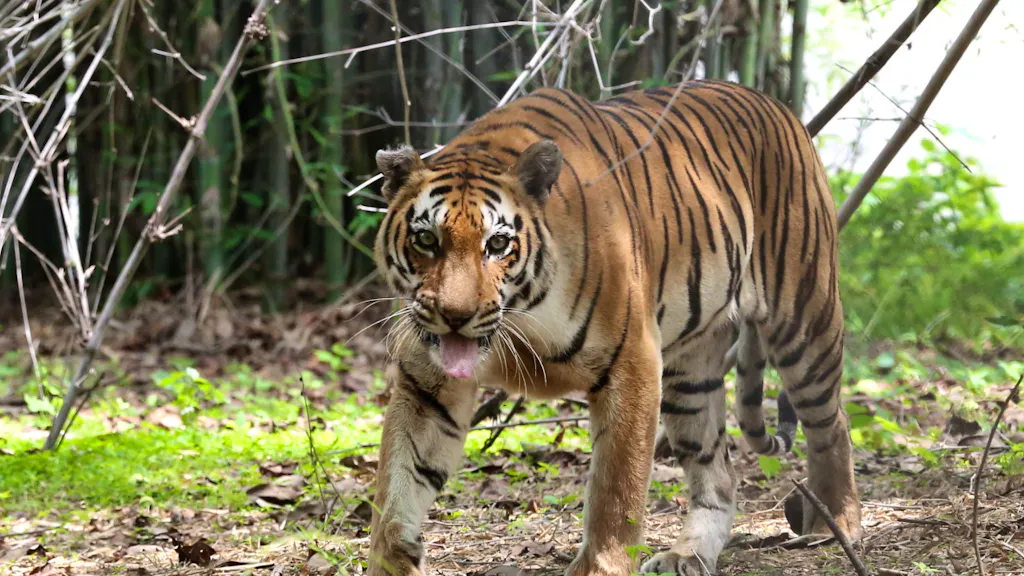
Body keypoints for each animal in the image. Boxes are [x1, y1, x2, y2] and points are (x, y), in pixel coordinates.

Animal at [365, 79, 862, 576]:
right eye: (426, 239)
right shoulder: (427, 386)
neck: (522, 317)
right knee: (718, 473)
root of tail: (776, 104)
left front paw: (601, 565)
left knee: (832, 425)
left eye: (498, 244)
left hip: (804, 322)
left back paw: (834, 524)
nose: (456, 316)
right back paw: (688, 555)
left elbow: (616, 488)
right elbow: (398, 485)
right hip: (691, 374)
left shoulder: (633, 362)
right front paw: (393, 560)